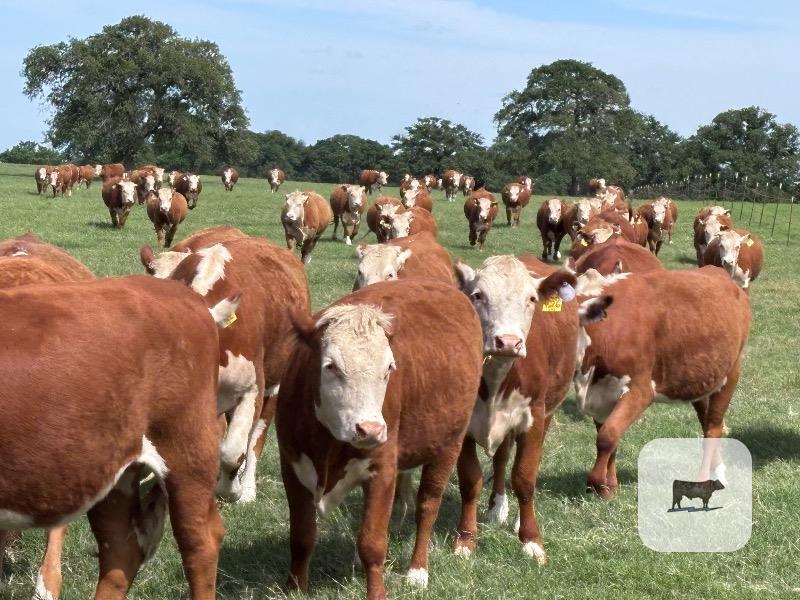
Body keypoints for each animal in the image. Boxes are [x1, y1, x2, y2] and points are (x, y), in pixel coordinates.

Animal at [164, 238, 310, 503]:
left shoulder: (252, 389)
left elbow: (233, 452)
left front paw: (231, 490)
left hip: (272, 387)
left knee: (254, 441)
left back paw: (247, 489)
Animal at [276, 279, 483, 598]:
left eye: (389, 368)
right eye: (331, 366)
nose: (370, 429)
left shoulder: (382, 470)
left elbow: (372, 544)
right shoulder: (292, 466)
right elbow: (301, 536)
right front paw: (295, 588)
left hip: (450, 442)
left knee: (428, 505)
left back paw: (419, 569)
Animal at [453, 256, 578, 564]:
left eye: (531, 299)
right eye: (478, 295)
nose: (508, 342)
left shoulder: (532, 419)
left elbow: (524, 477)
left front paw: (531, 540)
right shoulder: (464, 426)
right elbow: (470, 481)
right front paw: (466, 540)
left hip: (547, 413)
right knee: (500, 459)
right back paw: (497, 506)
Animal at [574, 267, 751, 498]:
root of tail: (717, 271)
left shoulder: (639, 390)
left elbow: (607, 436)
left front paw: (595, 483)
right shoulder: (601, 395)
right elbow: (609, 436)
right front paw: (609, 488)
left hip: (731, 373)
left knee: (713, 428)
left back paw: (702, 480)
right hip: (701, 380)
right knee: (708, 425)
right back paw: (717, 470)